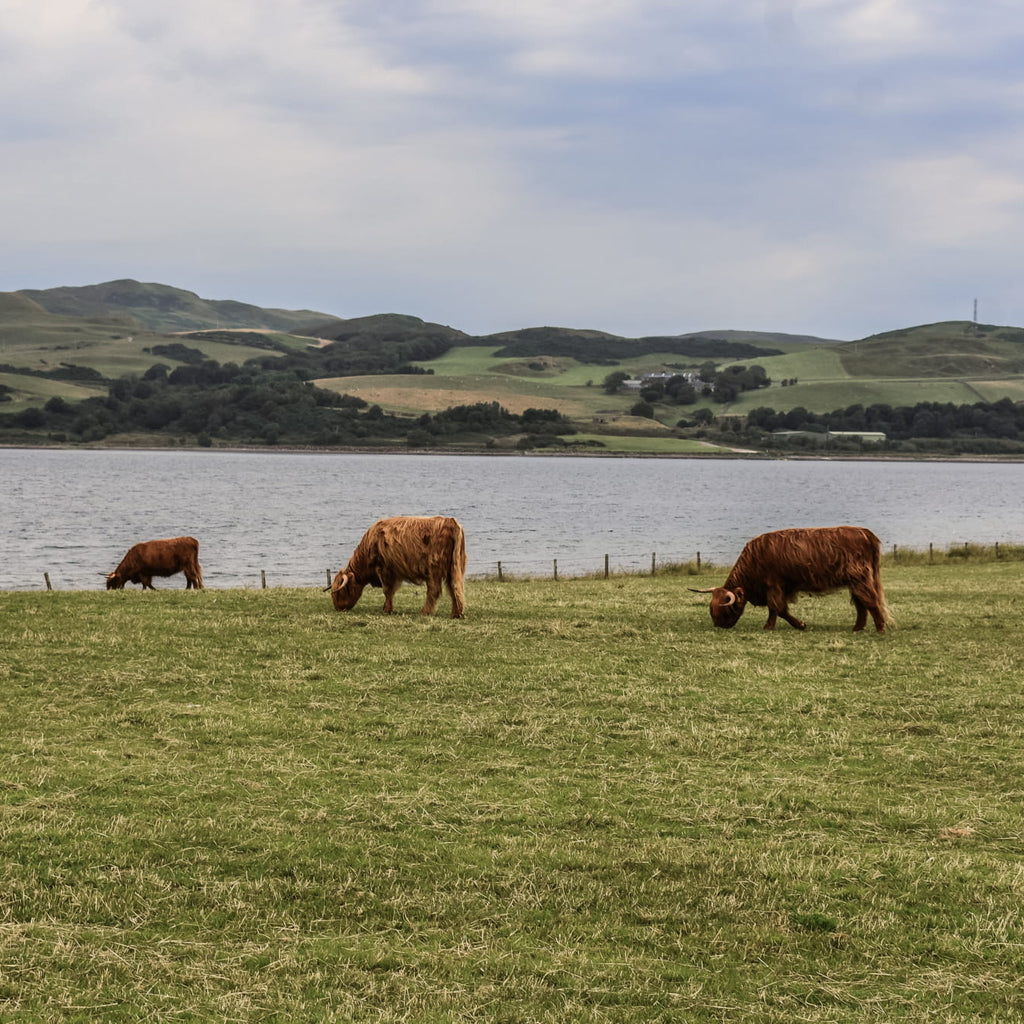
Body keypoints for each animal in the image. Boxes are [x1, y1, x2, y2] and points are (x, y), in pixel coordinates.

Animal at [329, 516, 466, 618]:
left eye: (340, 591)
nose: (337, 607)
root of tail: (450, 521)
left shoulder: (384, 568)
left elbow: (387, 590)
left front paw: (387, 609)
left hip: (434, 568)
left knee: (434, 590)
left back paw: (425, 612)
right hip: (454, 568)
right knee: (455, 587)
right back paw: (456, 614)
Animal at [690, 526, 889, 632]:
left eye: (726, 609)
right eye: (711, 609)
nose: (718, 625)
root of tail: (865, 532)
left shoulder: (774, 585)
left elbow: (776, 608)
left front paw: (771, 626)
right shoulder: (782, 587)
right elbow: (781, 609)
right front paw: (800, 624)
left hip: (860, 578)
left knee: (870, 601)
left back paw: (880, 628)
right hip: (854, 581)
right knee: (861, 603)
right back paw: (857, 628)